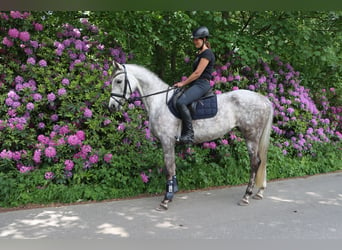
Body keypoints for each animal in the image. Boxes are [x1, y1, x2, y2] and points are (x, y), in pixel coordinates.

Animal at [108, 61, 274, 210]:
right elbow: (173, 167)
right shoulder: (169, 143)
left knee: (255, 163)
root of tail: (263, 99)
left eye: (118, 81)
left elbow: (168, 168)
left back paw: (246, 196)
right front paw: (172, 192)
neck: (160, 101)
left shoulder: (166, 141)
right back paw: (259, 192)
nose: (111, 106)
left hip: (251, 136)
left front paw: (166, 200)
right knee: (261, 161)